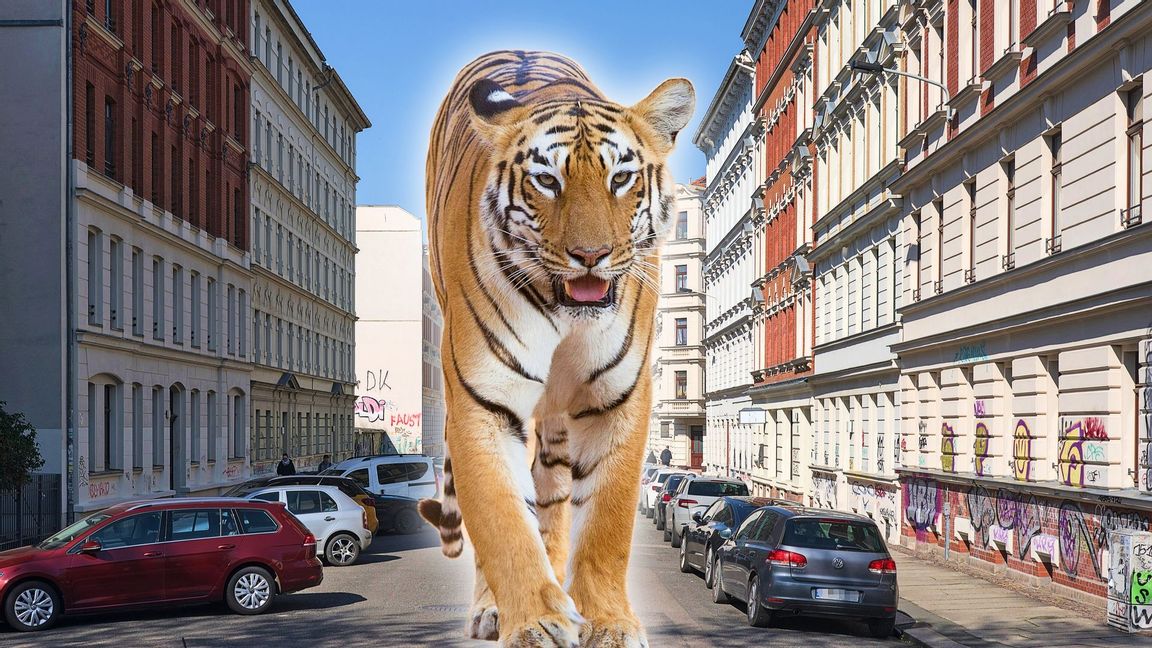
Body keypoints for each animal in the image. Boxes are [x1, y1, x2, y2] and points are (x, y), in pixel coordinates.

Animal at [419, 50, 693, 648]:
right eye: (546, 181)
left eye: (621, 178)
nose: (590, 255)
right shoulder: (481, 403)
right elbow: (502, 522)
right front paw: (534, 623)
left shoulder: (619, 400)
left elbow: (606, 524)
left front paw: (608, 621)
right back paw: (492, 609)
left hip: (557, 433)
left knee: (553, 502)